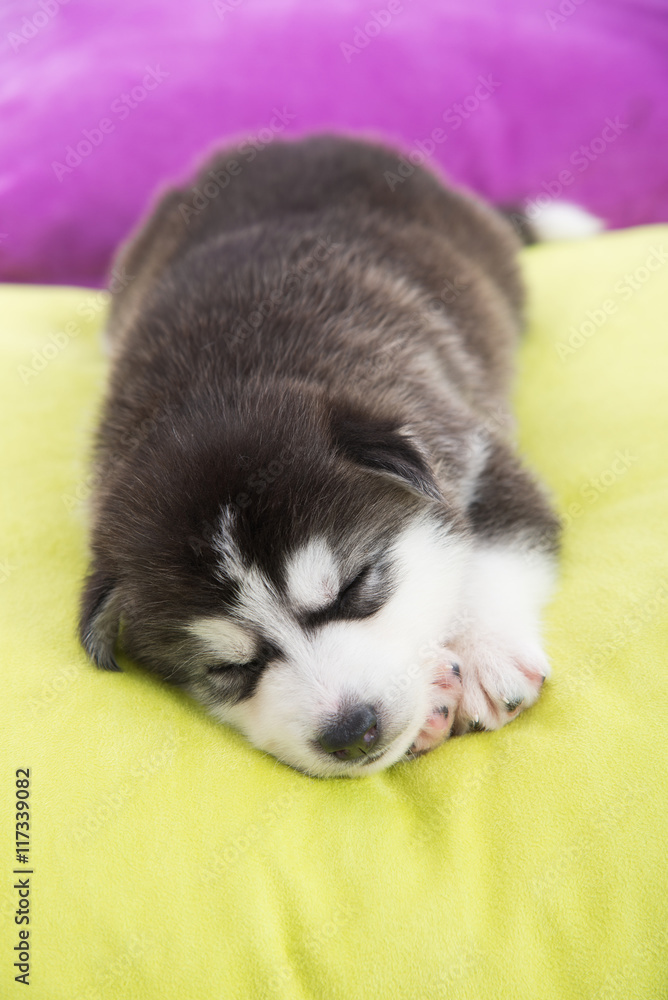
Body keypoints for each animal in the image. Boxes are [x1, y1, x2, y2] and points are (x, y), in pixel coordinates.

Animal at [77, 133, 588, 776]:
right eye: (229, 669)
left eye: (355, 587)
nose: (351, 731)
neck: (219, 385)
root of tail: (293, 142)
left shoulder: (473, 447)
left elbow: (496, 548)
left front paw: (480, 656)